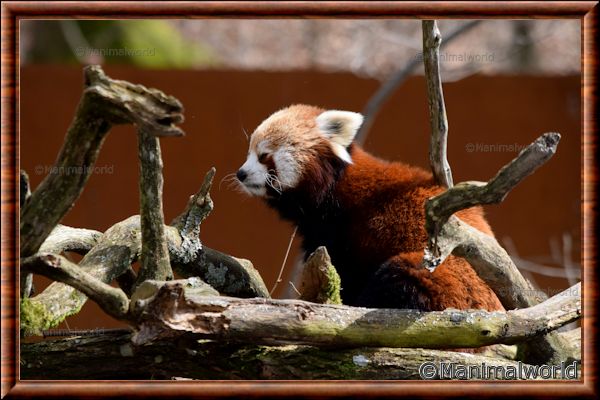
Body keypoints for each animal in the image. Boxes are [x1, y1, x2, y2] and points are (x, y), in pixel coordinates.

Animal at [237, 104, 504, 310]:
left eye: (264, 155)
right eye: (249, 152)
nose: (241, 173)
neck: (334, 186)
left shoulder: (345, 231)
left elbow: (347, 270)